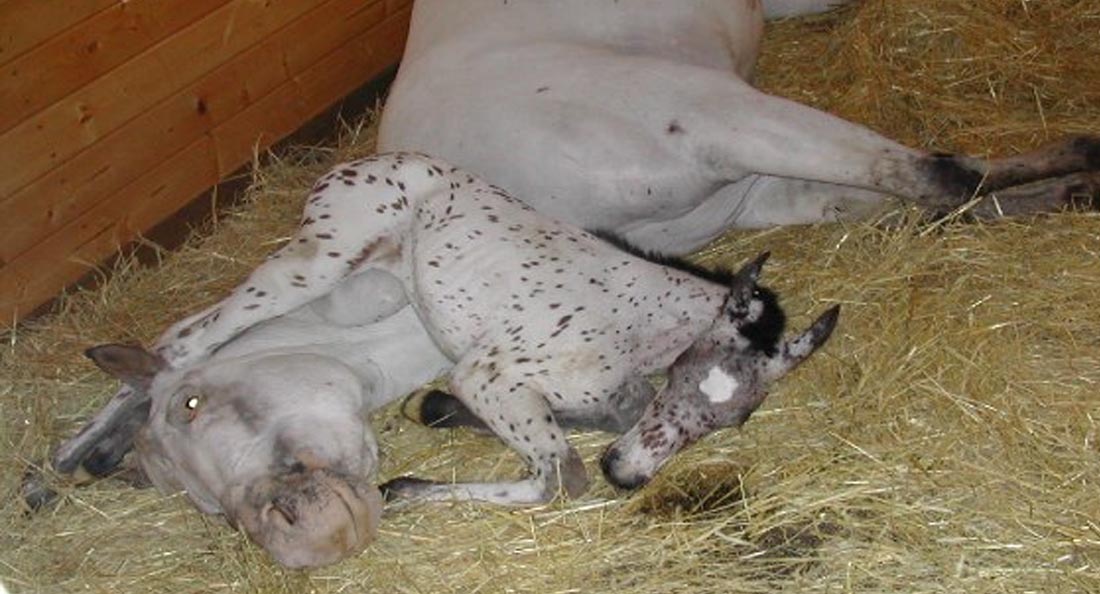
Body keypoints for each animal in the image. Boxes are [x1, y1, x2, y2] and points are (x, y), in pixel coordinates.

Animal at [380, 0, 1100, 253]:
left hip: (748, 189)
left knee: (927, 200)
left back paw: (1069, 191)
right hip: (719, 114)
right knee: (936, 176)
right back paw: (1083, 159)